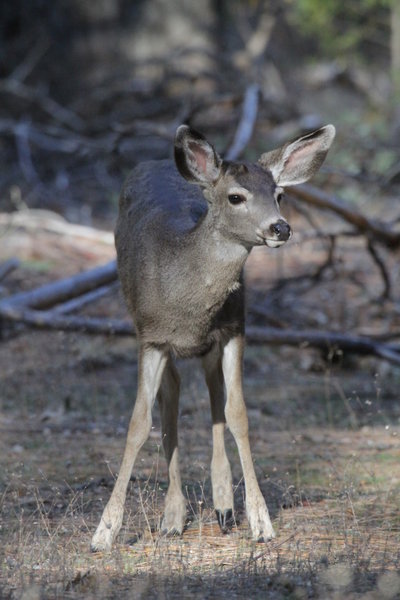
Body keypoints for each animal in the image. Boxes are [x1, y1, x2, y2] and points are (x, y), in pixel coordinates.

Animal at [90, 123, 334, 552]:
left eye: (279, 195)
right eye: (236, 197)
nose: (281, 227)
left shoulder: (235, 329)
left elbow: (237, 414)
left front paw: (260, 521)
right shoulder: (151, 337)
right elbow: (138, 423)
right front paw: (104, 531)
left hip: (210, 346)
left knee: (210, 392)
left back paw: (221, 505)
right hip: (148, 329)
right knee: (171, 399)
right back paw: (173, 516)